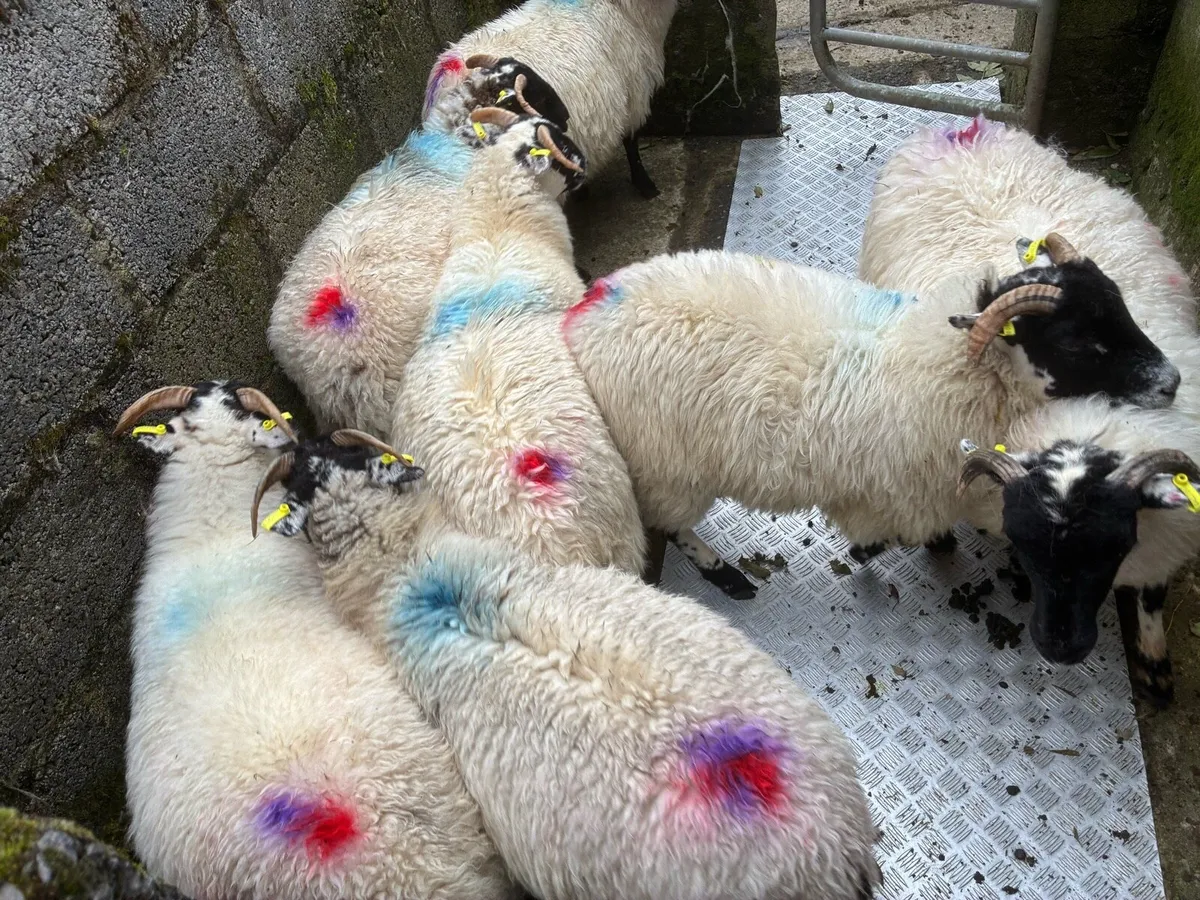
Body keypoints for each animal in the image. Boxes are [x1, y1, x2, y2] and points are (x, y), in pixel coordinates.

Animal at [560, 243, 1180, 598]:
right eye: (1077, 341)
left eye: (1120, 305)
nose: (1171, 382)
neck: (944, 366)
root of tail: (585, 313)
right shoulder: (898, 490)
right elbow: (887, 537)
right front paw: (877, 553)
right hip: (669, 466)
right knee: (672, 525)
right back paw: (726, 575)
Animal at [856, 116, 1200, 701]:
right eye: (1076, 343)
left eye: (1122, 306)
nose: (1170, 383)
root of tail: (956, 128)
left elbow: (1152, 596)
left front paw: (1154, 660)